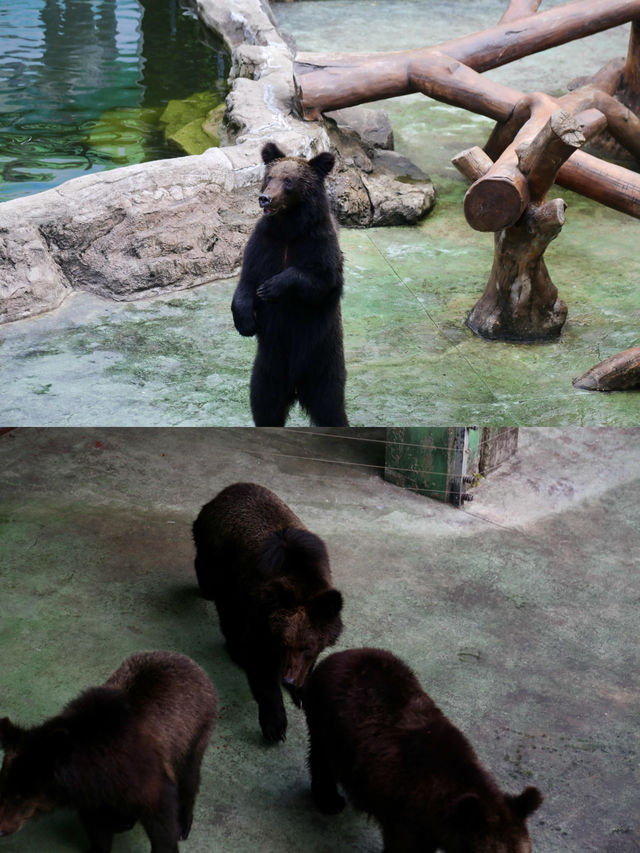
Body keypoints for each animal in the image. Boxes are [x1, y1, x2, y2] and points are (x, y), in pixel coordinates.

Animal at [0, 648, 218, 848]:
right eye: (5, 786)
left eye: (21, 795)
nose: (2, 828)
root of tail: (193, 663)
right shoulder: (92, 795)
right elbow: (98, 828)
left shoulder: (145, 776)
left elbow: (161, 822)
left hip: (194, 735)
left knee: (189, 775)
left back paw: (183, 820)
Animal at [192, 482, 342, 744]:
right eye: (284, 643)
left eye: (307, 647)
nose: (288, 679)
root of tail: (222, 493)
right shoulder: (260, 611)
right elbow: (259, 660)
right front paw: (275, 724)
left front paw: (301, 692)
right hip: (220, 556)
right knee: (221, 597)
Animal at [231, 144, 350, 432]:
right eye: (269, 176)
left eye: (289, 181)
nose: (265, 198)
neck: (288, 227)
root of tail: (295, 388)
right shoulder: (263, 244)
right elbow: (246, 281)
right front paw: (246, 322)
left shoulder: (318, 244)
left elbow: (321, 281)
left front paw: (271, 287)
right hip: (267, 369)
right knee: (264, 406)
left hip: (323, 366)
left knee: (331, 409)